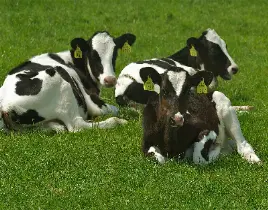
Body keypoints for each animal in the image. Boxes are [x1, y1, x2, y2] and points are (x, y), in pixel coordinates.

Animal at [0, 31, 136, 132]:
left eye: (114, 55)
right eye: (93, 55)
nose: (110, 79)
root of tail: (6, 105)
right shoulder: (93, 102)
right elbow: (118, 108)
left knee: (58, 128)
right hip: (62, 86)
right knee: (77, 125)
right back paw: (118, 121)